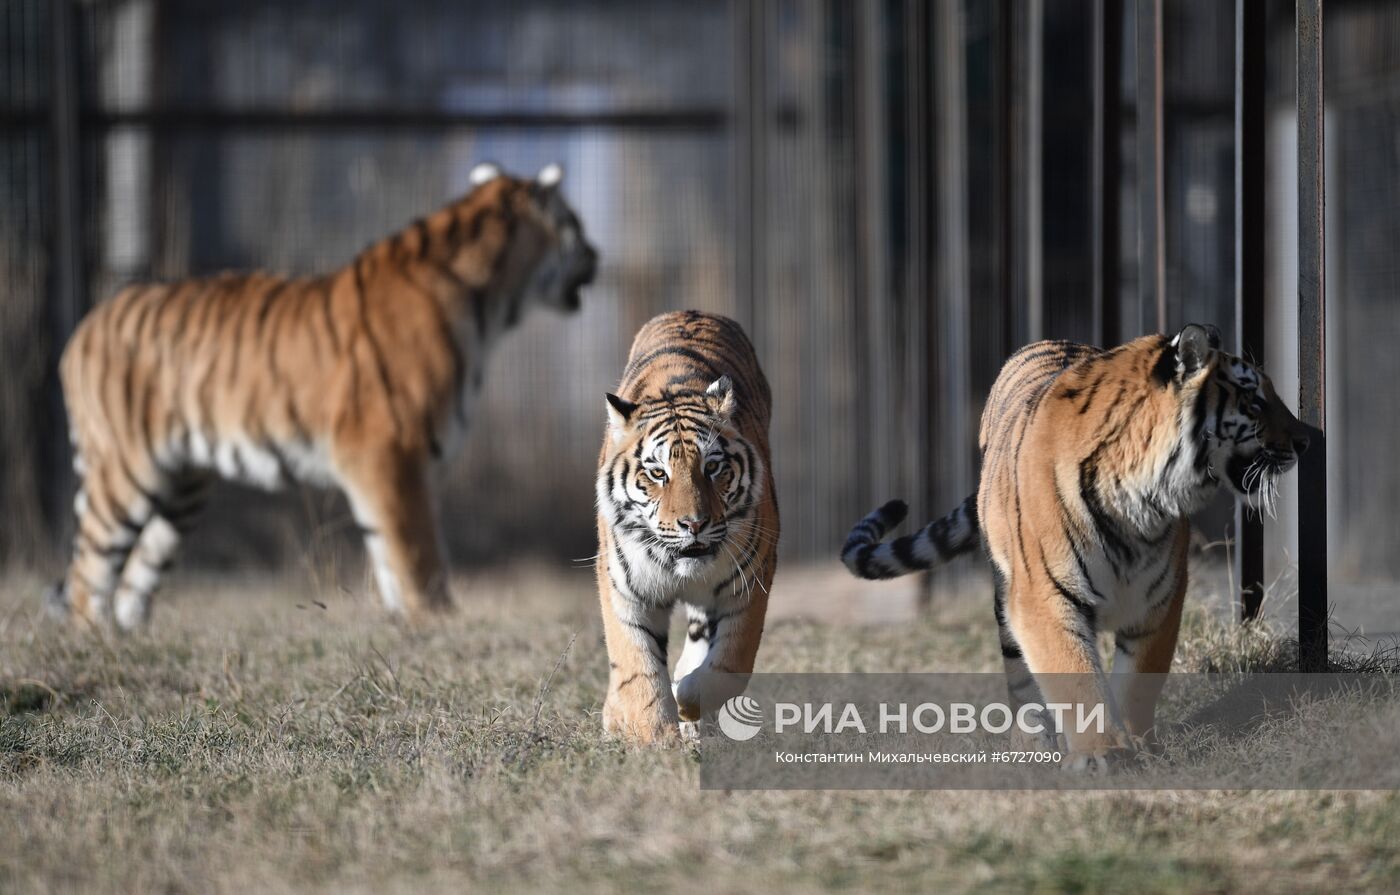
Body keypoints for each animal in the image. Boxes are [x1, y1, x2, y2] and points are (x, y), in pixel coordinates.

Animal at [45, 164, 596, 633]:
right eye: (575, 223)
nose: (597, 255)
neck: (495, 305)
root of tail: (85, 325)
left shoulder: (389, 468)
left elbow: (390, 557)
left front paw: (406, 629)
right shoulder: (389, 453)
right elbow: (417, 553)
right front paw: (440, 624)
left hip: (182, 487)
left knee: (136, 574)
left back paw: (131, 638)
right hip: (126, 469)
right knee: (88, 571)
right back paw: (94, 639)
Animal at [596, 310, 784, 745]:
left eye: (712, 467)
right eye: (657, 473)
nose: (694, 523)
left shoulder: (749, 584)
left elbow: (730, 664)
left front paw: (688, 695)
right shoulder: (624, 589)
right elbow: (637, 667)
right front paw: (656, 740)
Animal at [840, 327, 1310, 773]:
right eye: (1254, 400)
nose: (1310, 438)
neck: (1142, 498)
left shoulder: (1159, 599)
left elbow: (1140, 679)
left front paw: (1137, 745)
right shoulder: (1045, 597)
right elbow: (1077, 678)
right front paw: (1101, 753)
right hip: (1006, 598)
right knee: (1019, 678)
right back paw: (1030, 741)